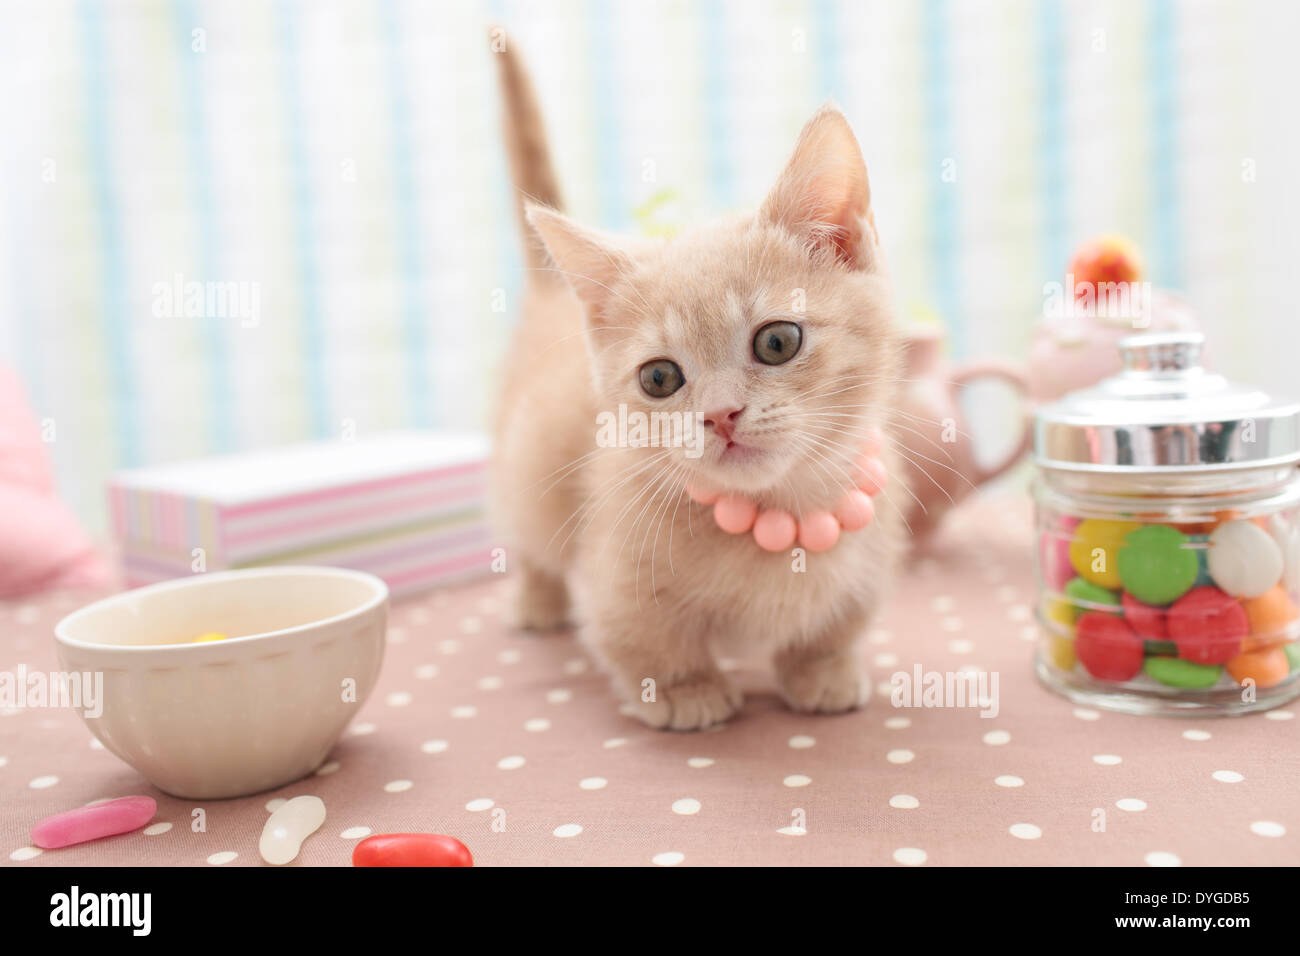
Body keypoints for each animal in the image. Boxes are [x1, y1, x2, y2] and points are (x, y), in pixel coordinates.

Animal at [488, 39, 904, 733]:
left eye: (777, 342)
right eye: (660, 378)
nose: (720, 414)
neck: (776, 513)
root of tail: (551, 296)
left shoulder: (871, 558)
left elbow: (834, 625)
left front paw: (824, 671)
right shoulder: (616, 576)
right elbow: (642, 639)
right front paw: (687, 691)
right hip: (525, 475)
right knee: (530, 536)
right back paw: (536, 600)